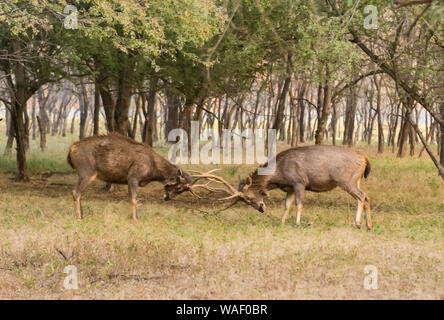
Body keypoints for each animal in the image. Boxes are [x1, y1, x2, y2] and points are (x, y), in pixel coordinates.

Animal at [68, 132, 210, 220]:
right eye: (180, 187)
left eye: (183, 190)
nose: (167, 198)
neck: (152, 171)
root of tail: (71, 148)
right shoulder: (133, 177)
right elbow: (134, 199)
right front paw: (135, 218)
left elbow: (131, 198)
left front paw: (132, 216)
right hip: (87, 171)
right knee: (75, 192)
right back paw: (79, 217)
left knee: (80, 193)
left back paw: (82, 215)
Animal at [193, 145, 372, 230]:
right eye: (245, 201)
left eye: (249, 197)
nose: (261, 208)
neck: (278, 175)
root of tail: (365, 158)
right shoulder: (290, 187)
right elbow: (287, 205)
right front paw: (281, 221)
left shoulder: (299, 182)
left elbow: (299, 204)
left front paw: (298, 223)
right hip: (356, 180)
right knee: (366, 196)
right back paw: (368, 225)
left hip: (346, 180)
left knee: (362, 196)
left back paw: (358, 223)